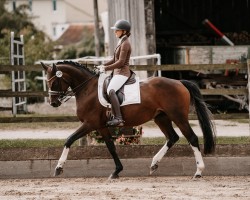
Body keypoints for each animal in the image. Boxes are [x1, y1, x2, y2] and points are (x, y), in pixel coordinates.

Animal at [41, 60, 217, 178]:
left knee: (192, 138)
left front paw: (58, 167)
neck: (87, 89)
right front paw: (116, 171)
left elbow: (69, 139)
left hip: (178, 117)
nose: (53, 103)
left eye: (54, 82)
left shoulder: (90, 124)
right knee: (172, 137)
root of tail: (179, 82)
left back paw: (198, 171)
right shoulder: (101, 126)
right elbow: (111, 147)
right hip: (161, 117)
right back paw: (154, 164)